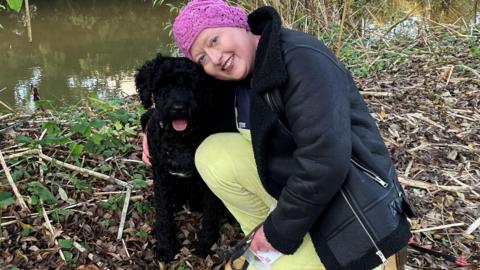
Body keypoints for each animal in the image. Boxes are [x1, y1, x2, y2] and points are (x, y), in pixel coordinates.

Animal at [135, 53, 236, 262]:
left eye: (193, 85)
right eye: (163, 84)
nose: (178, 108)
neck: (179, 139)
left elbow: (210, 215)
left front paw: (206, 244)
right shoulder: (161, 179)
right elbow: (163, 215)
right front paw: (165, 247)